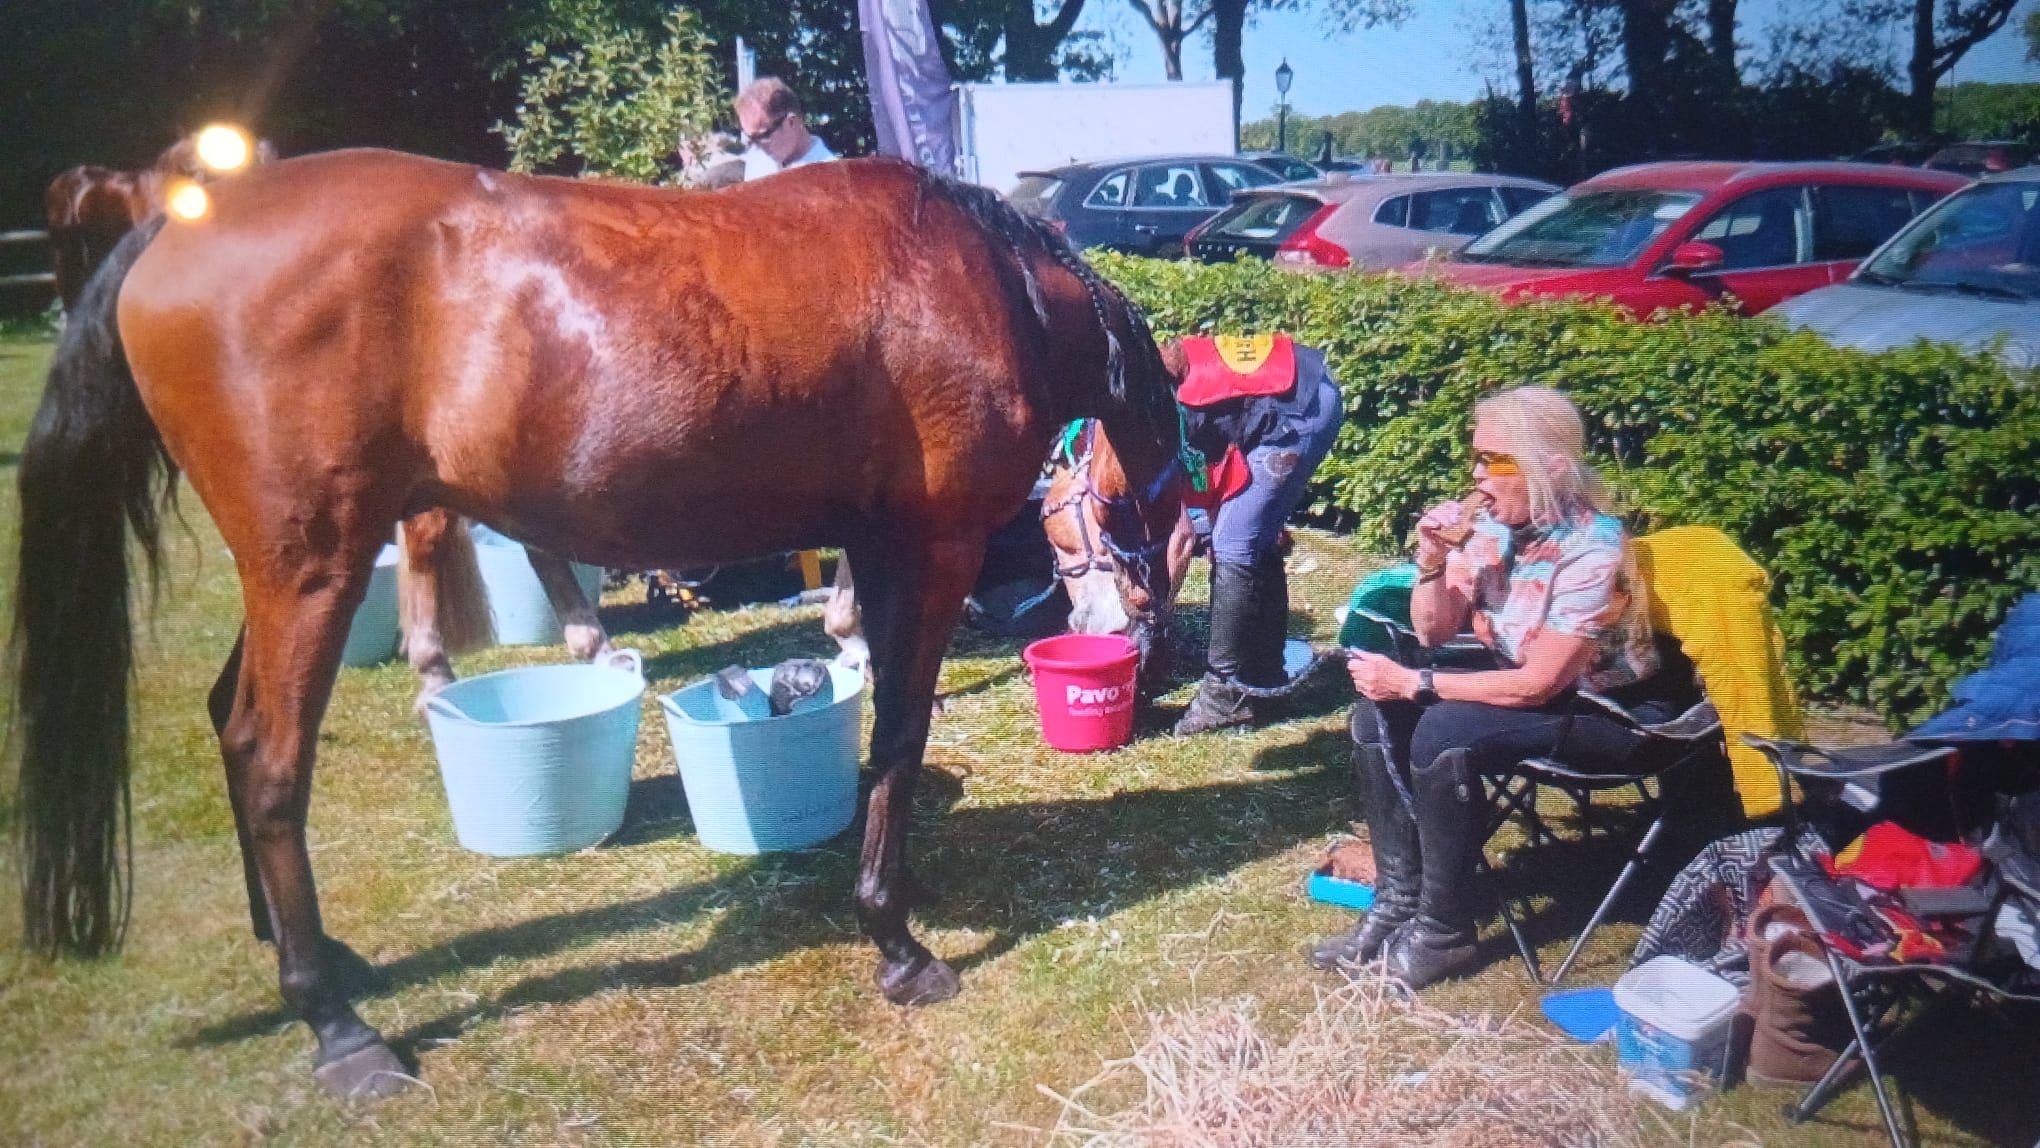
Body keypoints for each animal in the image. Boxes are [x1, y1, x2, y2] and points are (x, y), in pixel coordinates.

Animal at [11, 150, 1184, 1098]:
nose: (1149, 639)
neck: (988, 281)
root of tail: (172, 221)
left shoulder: (878, 544)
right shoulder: (933, 549)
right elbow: (899, 727)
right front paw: (895, 936)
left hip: (288, 574)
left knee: (228, 721)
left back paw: (311, 953)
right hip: (310, 570)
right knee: (267, 756)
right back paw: (337, 1026)